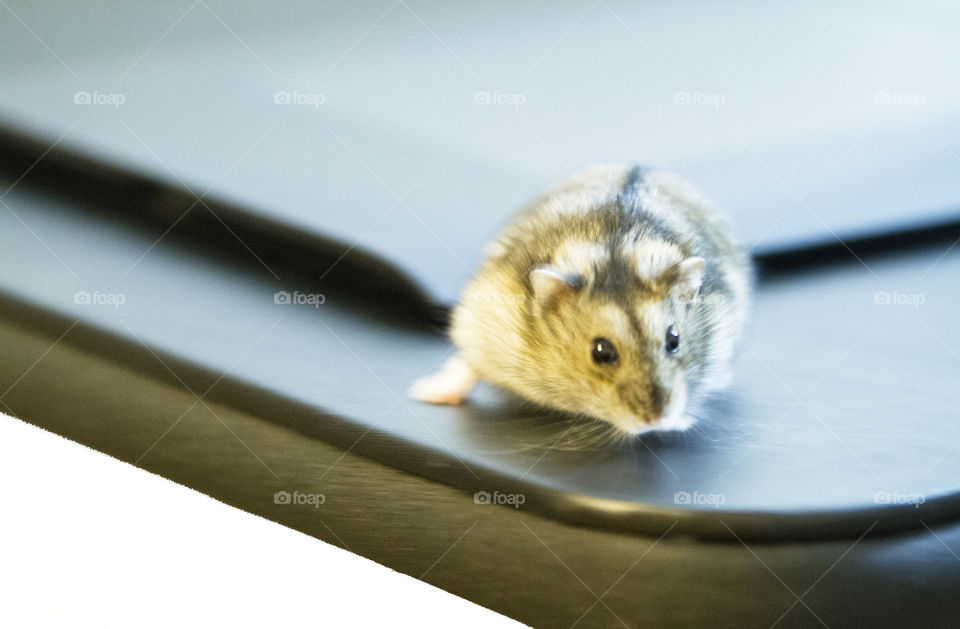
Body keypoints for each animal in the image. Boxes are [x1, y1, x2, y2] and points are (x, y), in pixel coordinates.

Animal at [410, 164, 751, 436]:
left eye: (674, 340)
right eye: (601, 351)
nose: (656, 420)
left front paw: (680, 422)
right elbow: (471, 366)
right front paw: (421, 393)